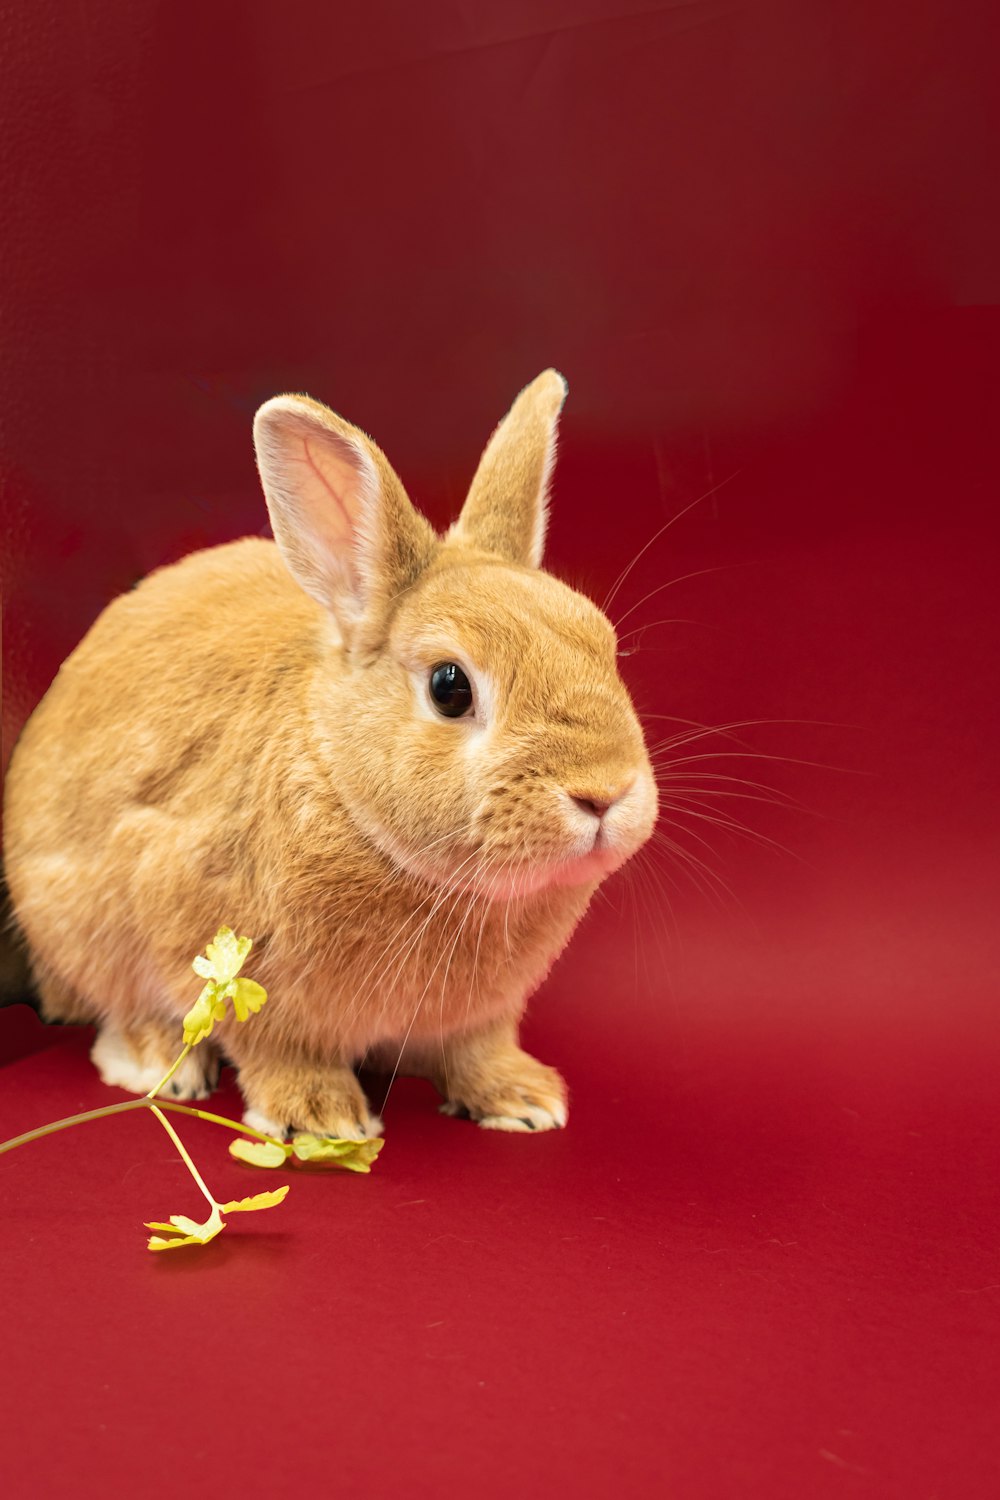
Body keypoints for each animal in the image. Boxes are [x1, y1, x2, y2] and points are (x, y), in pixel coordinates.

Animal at [3, 372, 659, 1134]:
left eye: (603, 644)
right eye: (450, 686)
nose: (605, 791)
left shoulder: (480, 1017)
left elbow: (477, 1049)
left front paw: (523, 1100)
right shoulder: (228, 961)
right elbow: (277, 1050)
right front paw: (322, 1119)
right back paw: (163, 1065)